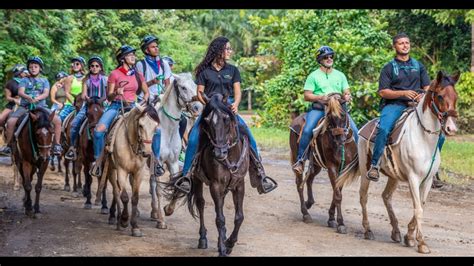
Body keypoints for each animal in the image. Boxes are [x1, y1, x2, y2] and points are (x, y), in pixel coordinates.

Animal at [100, 104, 159, 237]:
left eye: (155, 127)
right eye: (141, 125)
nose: (147, 153)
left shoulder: (138, 173)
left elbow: (135, 198)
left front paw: (135, 227)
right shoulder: (122, 170)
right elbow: (125, 197)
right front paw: (124, 220)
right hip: (112, 169)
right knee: (116, 191)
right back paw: (115, 218)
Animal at [148, 72, 200, 229]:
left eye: (195, 85)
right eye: (183, 87)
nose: (198, 107)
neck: (167, 129)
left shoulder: (173, 162)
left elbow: (177, 184)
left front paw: (168, 209)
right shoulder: (158, 162)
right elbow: (158, 189)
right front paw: (161, 220)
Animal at [165, 93, 250, 256]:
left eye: (226, 118)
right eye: (207, 121)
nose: (219, 153)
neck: (230, 157)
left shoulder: (239, 185)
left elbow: (239, 217)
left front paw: (229, 243)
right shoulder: (215, 185)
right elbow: (220, 219)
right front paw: (223, 248)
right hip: (197, 179)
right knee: (201, 204)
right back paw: (203, 239)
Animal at [288, 93, 360, 233]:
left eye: (343, 114)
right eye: (330, 117)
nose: (340, 139)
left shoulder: (343, 169)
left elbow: (337, 192)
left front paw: (331, 218)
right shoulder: (332, 167)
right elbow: (337, 195)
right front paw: (340, 223)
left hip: (316, 164)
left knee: (310, 179)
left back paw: (309, 203)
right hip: (296, 157)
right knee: (299, 184)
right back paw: (305, 213)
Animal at [336, 70, 460, 254]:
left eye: (455, 96)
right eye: (440, 96)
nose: (451, 129)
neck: (424, 139)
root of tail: (365, 126)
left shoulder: (427, 180)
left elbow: (421, 205)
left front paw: (409, 236)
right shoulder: (413, 178)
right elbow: (418, 208)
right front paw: (421, 243)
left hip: (393, 176)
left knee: (386, 196)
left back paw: (395, 231)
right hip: (366, 172)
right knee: (363, 197)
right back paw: (368, 230)